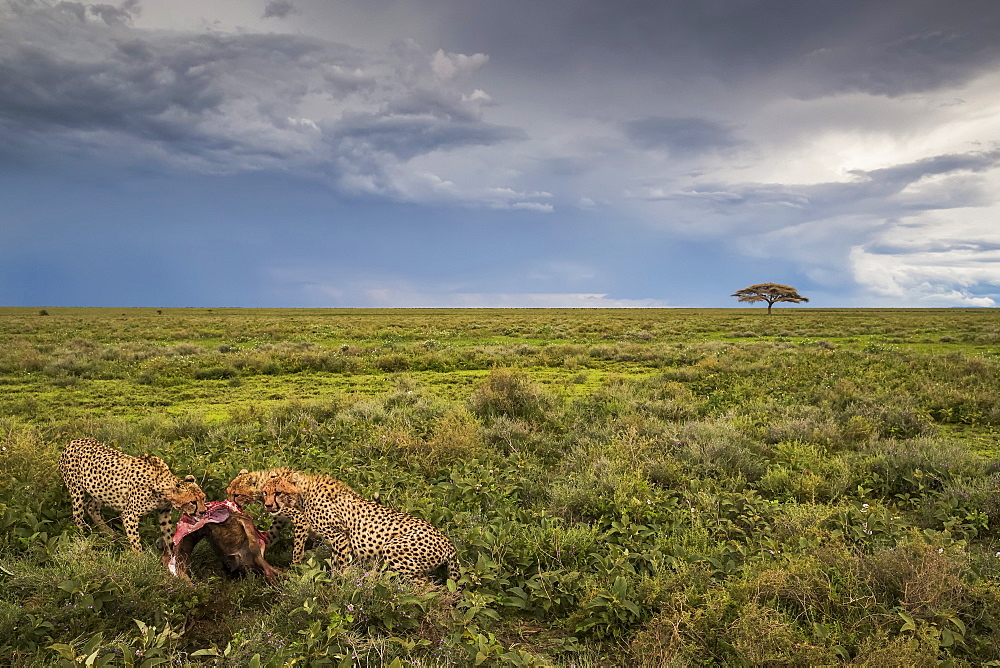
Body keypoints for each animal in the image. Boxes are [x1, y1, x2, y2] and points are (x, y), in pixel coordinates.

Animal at [58, 438, 207, 552]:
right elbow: (136, 542)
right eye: (192, 502)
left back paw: (110, 533)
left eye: (203, 498)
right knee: (77, 515)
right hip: (77, 490)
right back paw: (83, 536)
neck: (163, 488)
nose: (203, 511)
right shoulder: (130, 515)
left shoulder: (163, 512)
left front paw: (173, 557)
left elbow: (168, 535)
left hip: (99, 490)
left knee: (91, 507)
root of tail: (72, 441)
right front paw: (140, 561)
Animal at [260, 470, 458, 584]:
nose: (268, 506)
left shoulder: (339, 536)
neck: (303, 493)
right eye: (264, 492)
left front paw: (338, 586)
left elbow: (339, 565)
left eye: (278, 492)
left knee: (423, 585)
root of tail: (448, 542)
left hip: (393, 548)